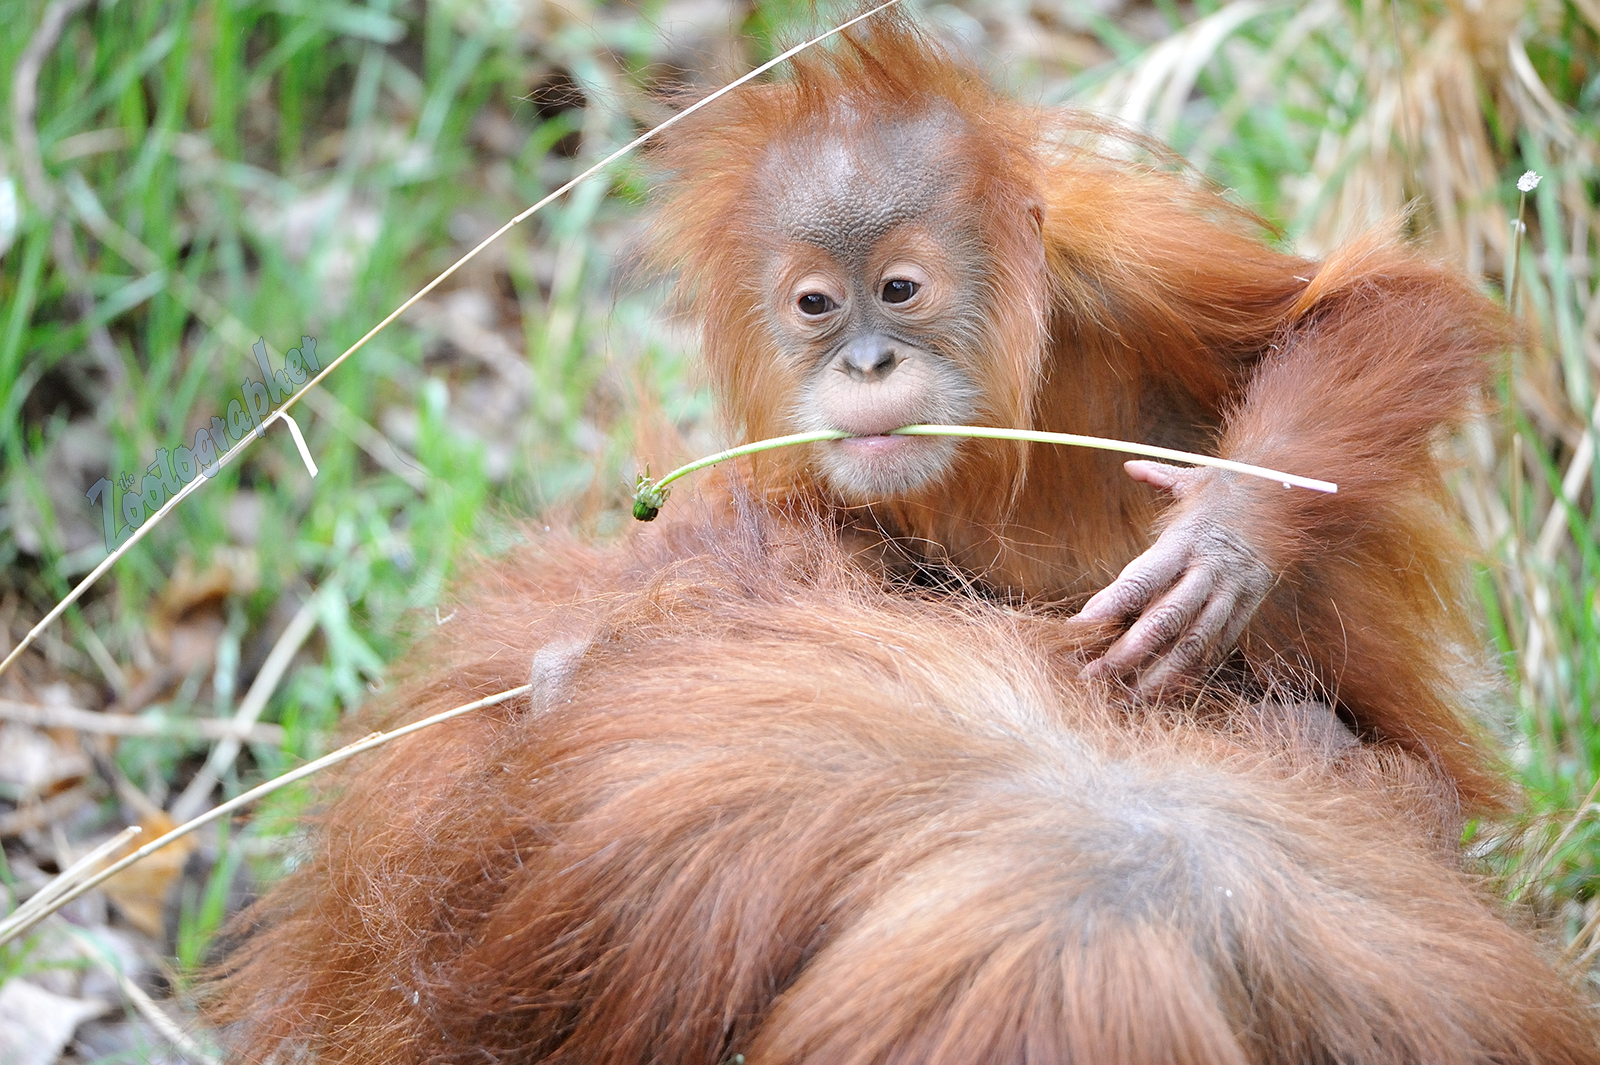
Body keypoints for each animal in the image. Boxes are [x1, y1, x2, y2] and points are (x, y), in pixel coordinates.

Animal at [646, 14, 1511, 806]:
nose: (867, 363)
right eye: (815, 304)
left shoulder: (1118, 261)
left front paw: (1223, 536)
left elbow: (1384, 307)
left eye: (899, 289)